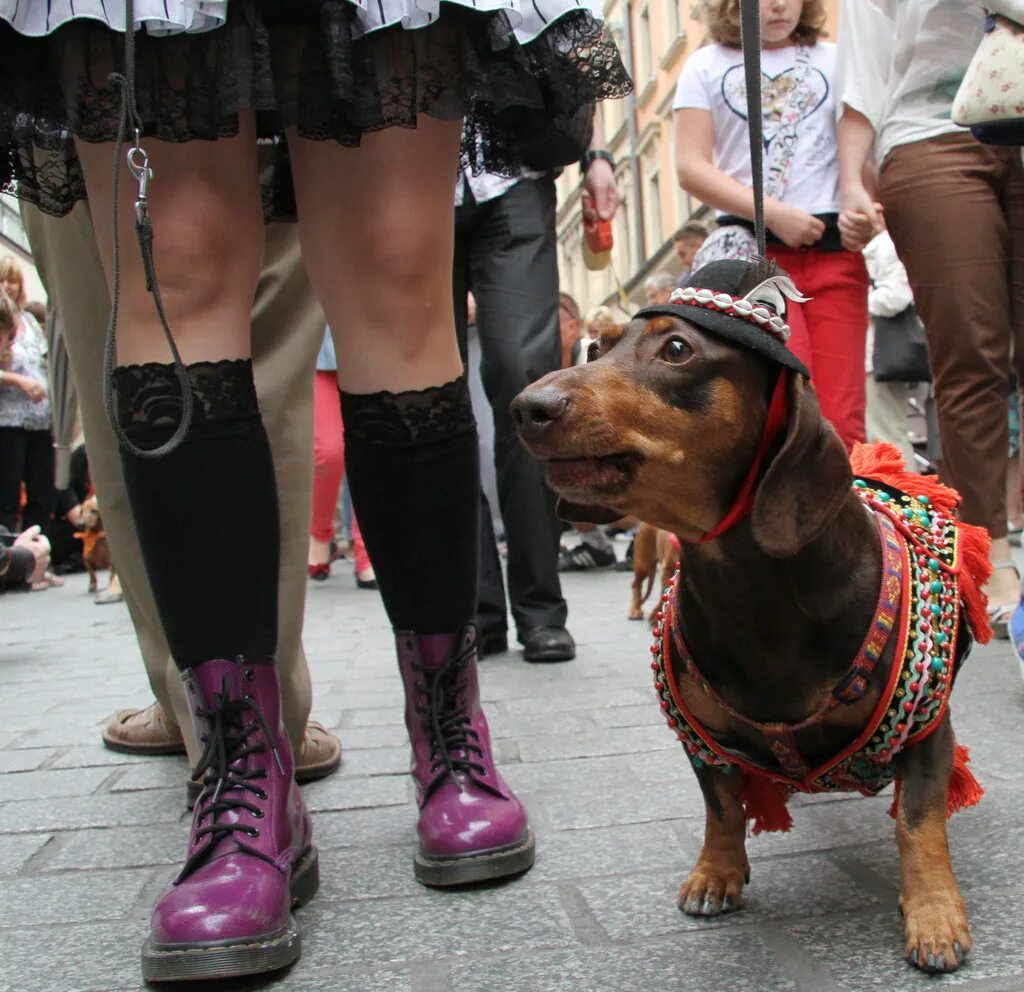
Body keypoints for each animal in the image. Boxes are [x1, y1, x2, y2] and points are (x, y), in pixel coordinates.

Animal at [516, 259, 978, 970]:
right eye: (596, 348)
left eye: (678, 349)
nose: (526, 408)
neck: (755, 595)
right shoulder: (702, 739)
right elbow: (723, 809)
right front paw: (716, 874)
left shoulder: (927, 730)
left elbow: (917, 823)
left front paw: (933, 915)